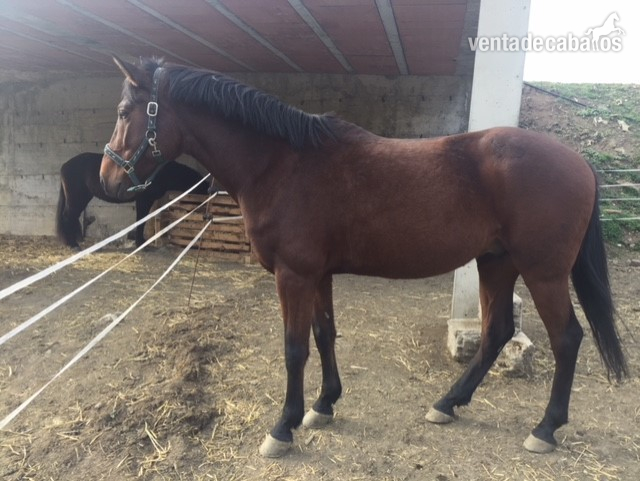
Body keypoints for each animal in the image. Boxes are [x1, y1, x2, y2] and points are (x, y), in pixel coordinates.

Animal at [56, 152, 208, 248]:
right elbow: (141, 219)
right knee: (68, 217)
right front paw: (141, 243)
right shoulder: (144, 200)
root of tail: (65, 165)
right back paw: (72, 244)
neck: (161, 174)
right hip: (77, 197)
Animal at [99, 57, 627, 458]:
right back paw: (447, 404)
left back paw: (545, 429)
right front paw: (324, 406)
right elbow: (324, 334)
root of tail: (578, 161)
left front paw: (283, 427)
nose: (108, 178)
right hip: (496, 262)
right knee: (496, 333)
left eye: (125, 111)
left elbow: (295, 349)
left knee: (567, 338)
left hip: (544, 273)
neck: (281, 164)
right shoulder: (318, 274)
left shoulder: (293, 275)